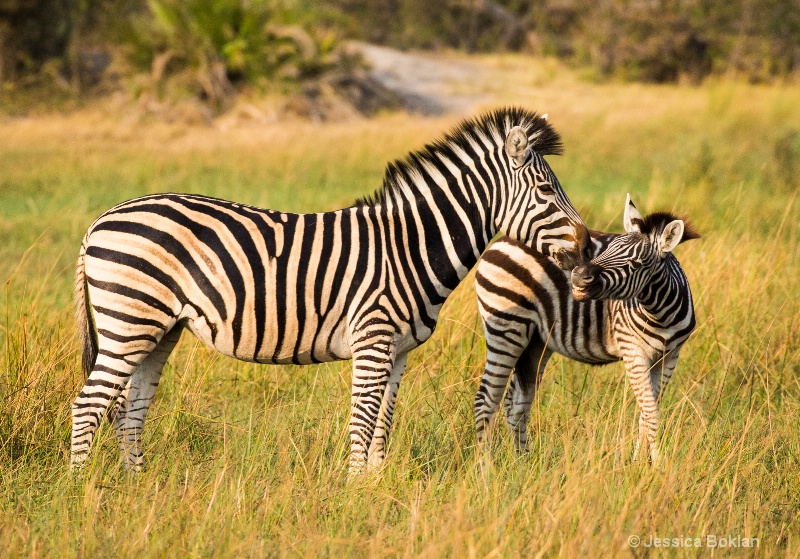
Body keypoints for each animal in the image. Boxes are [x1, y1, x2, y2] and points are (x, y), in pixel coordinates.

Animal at [72, 106, 592, 472]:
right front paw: (354, 493)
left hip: (159, 329)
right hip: (130, 320)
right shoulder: (372, 340)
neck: (409, 247)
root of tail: (100, 220)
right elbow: (361, 423)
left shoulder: (398, 351)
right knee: (90, 404)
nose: (587, 246)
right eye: (547, 191)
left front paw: (377, 491)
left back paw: (137, 488)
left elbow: (383, 425)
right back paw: (84, 495)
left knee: (131, 409)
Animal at [476, 196, 700, 464]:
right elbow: (650, 411)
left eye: (635, 264)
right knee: (487, 399)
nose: (578, 276)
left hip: (535, 341)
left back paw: (523, 462)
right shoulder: (633, 351)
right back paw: (488, 466)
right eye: (608, 250)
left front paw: (639, 462)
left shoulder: (670, 355)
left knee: (516, 402)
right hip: (506, 326)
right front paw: (655, 466)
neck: (660, 313)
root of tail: (502, 241)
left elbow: (646, 413)